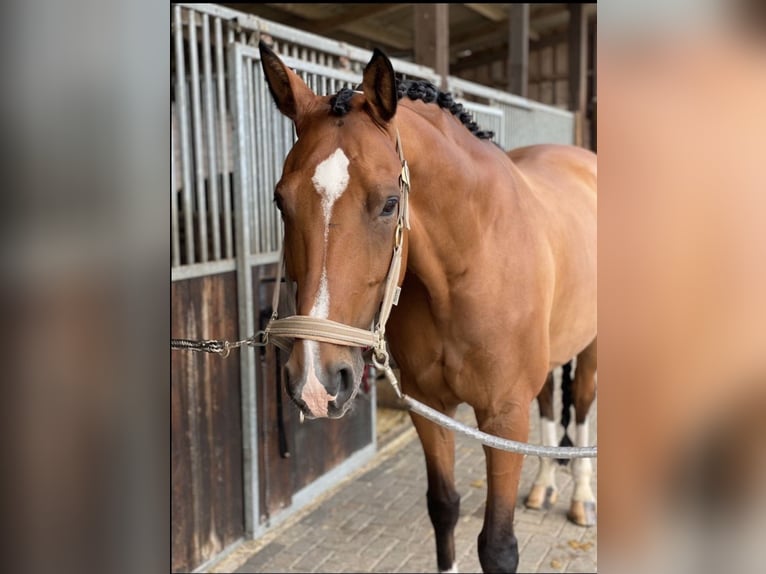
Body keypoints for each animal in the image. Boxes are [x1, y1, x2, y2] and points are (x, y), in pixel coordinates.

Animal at [260, 45, 600, 574]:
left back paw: (581, 497)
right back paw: (544, 487)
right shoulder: (430, 407)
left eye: (389, 204)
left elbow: (497, 545)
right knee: (550, 401)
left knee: (581, 408)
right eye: (281, 200)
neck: (469, 264)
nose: (316, 381)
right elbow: (443, 508)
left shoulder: (504, 417)